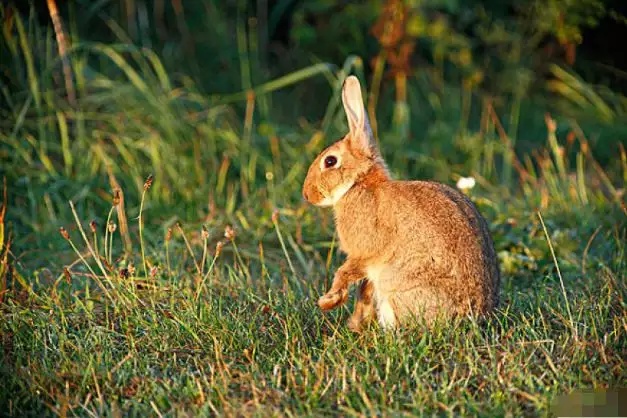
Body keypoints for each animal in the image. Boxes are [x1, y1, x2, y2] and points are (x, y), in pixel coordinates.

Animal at [302, 74, 502, 330]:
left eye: (330, 161)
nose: (308, 194)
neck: (359, 184)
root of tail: (474, 317)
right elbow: (364, 290)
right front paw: (354, 322)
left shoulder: (365, 251)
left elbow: (347, 272)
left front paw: (328, 301)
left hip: (397, 289)